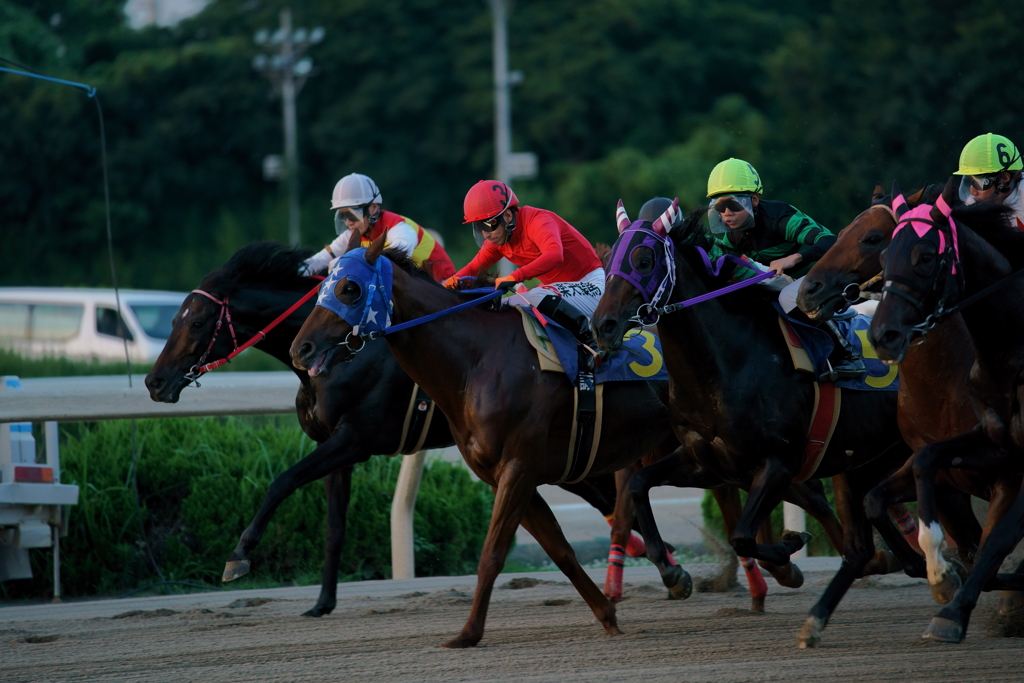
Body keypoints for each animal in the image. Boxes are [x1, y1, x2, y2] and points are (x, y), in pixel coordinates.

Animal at [144, 244, 638, 614]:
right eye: (175, 317)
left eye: (197, 321)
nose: (154, 382)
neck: (345, 356)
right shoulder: (335, 448)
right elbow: (334, 527)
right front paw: (321, 603)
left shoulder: (354, 440)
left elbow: (281, 481)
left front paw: (238, 556)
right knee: (605, 495)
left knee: (608, 494)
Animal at [288, 231, 847, 647]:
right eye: (323, 286)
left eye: (349, 289)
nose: (301, 348)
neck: (476, 359)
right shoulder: (512, 476)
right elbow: (560, 550)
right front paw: (607, 613)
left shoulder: (518, 469)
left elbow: (492, 553)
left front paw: (467, 633)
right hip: (712, 450)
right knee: (783, 491)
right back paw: (787, 567)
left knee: (798, 490)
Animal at [593, 200, 921, 651]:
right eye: (608, 262)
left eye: (643, 260)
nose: (601, 326)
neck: (724, 365)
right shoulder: (708, 462)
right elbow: (640, 485)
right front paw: (675, 575)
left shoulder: (778, 462)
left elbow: (742, 535)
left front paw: (790, 548)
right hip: (866, 459)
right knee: (865, 530)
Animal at [868, 176, 1024, 643]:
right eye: (884, 255)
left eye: (925, 256)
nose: (882, 334)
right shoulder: (994, 446)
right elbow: (917, 465)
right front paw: (940, 573)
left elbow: (997, 540)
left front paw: (953, 611)